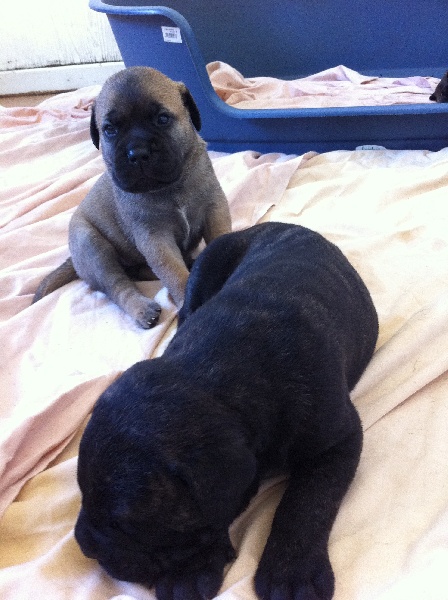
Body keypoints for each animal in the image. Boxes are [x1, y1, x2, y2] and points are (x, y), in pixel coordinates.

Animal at [32, 66, 231, 328]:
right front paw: (186, 298)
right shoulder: (156, 239)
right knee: (118, 285)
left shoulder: (214, 210)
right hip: (93, 247)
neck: (171, 188)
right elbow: (174, 273)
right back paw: (142, 309)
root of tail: (73, 261)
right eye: (110, 130)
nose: (137, 153)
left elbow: (219, 239)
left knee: (137, 272)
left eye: (162, 119)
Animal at [75, 222, 378, 600]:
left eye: (123, 524)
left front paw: (290, 572)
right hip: (203, 271)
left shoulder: (338, 439)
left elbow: (308, 501)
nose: (83, 545)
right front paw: (194, 568)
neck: (215, 373)